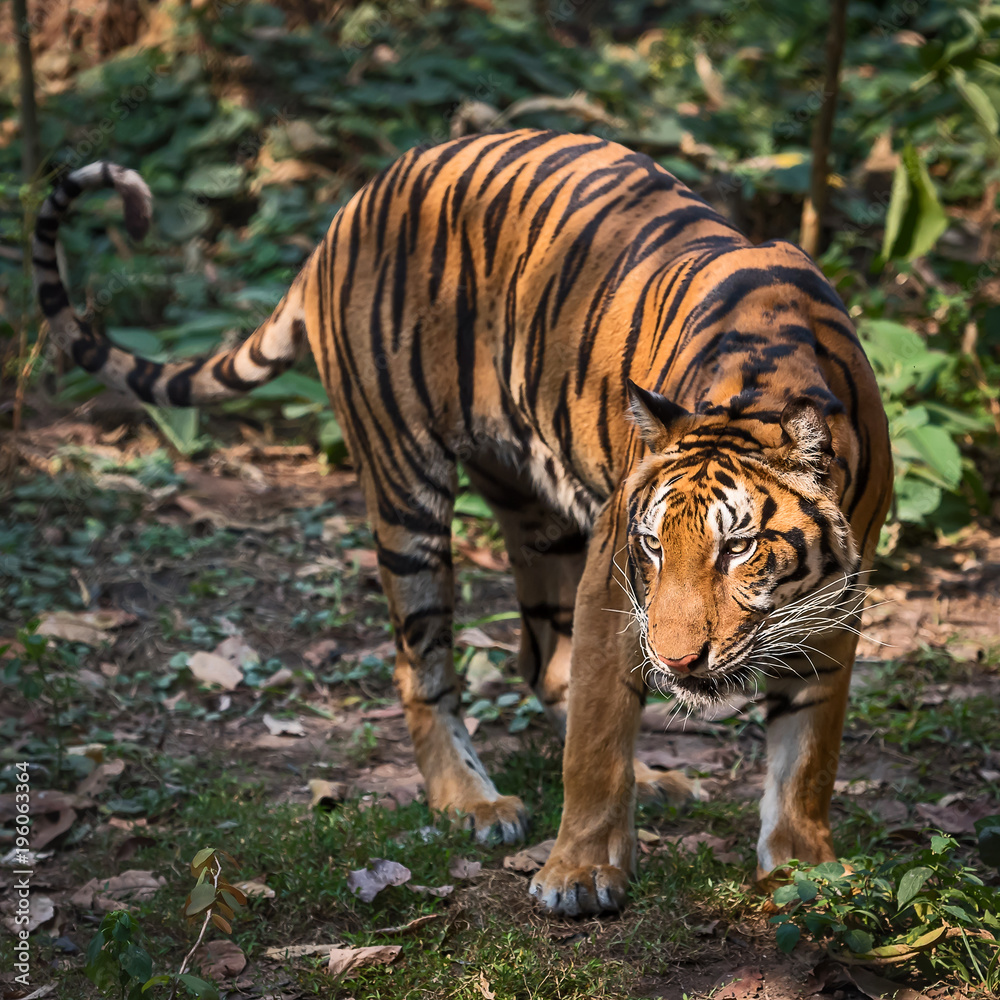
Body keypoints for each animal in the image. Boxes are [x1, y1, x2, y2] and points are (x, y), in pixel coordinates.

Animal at [32, 129, 892, 916]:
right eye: (655, 545)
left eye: (738, 548)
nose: (680, 662)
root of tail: (347, 212)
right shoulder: (615, 577)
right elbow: (597, 742)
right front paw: (578, 875)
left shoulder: (835, 604)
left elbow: (806, 752)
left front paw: (806, 871)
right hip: (406, 487)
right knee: (425, 667)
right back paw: (474, 803)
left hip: (536, 505)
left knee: (549, 662)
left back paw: (649, 775)